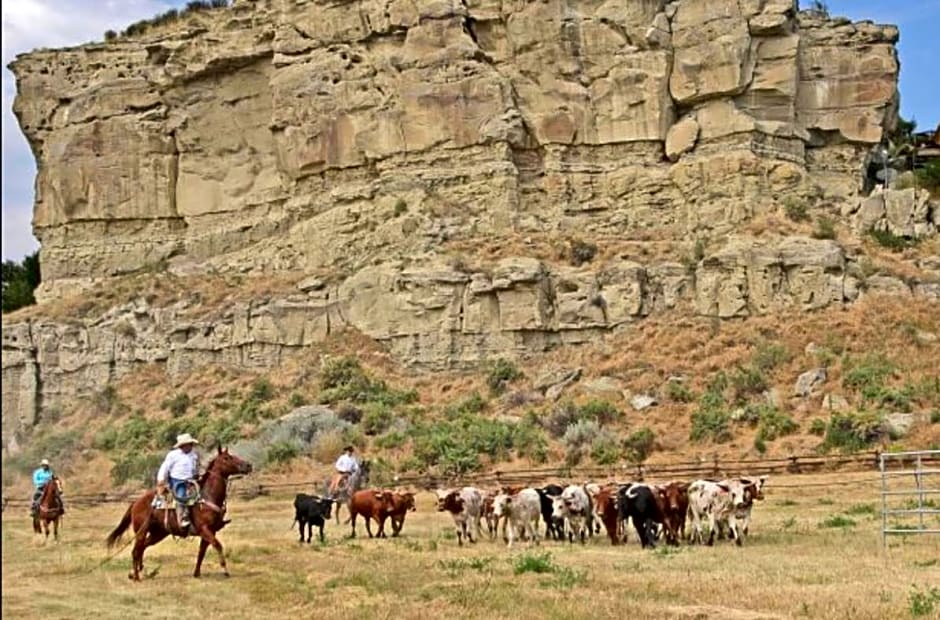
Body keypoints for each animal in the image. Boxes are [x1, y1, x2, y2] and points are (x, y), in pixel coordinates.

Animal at [104, 446, 252, 580]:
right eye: (227, 458)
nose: (248, 465)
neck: (207, 496)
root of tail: (136, 502)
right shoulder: (205, 529)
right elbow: (218, 545)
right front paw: (225, 571)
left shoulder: (211, 531)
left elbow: (201, 552)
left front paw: (196, 573)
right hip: (141, 531)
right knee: (136, 551)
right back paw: (136, 576)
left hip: (158, 533)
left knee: (142, 547)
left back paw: (137, 571)